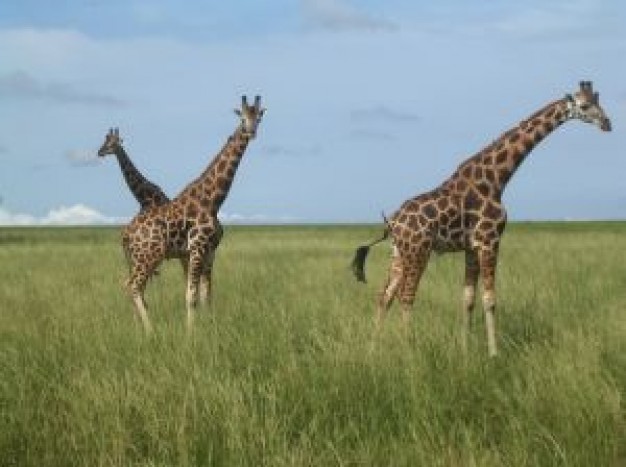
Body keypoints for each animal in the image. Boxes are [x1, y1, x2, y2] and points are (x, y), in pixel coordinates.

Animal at [122, 96, 266, 332]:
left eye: (258, 118)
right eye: (242, 118)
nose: (250, 131)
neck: (212, 201)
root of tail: (125, 234)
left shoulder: (210, 251)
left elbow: (207, 296)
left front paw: (210, 329)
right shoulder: (197, 248)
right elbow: (191, 297)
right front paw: (191, 334)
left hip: (138, 258)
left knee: (132, 286)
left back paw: (138, 328)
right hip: (149, 255)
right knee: (133, 286)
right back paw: (151, 331)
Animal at [352, 81, 608, 358]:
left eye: (599, 100)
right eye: (584, 106)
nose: (607, 123)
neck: (496, 180)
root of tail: (392, 223)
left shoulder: (471, 248)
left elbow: (468, 299)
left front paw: (464, 349)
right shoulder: (489, 241)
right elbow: (490, 300)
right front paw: (494, 354)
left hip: (399, 253)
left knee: (384, 295)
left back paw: (372, 350)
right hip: (418, 251)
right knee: (406, 297)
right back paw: (409, 351)